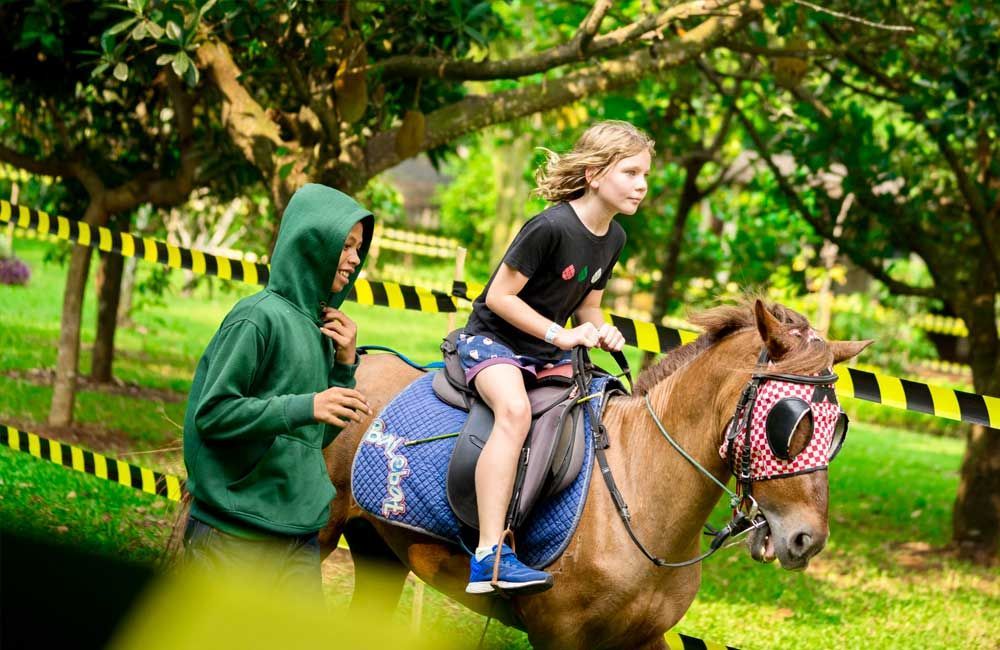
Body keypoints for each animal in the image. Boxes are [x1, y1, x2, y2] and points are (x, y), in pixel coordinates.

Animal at [319, 299, 870, 649]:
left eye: (837, 427)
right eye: (789, 421)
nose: (807, 539)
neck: (638, 495)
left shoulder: (645, 639)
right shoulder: (560, 637)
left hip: (378, 552)